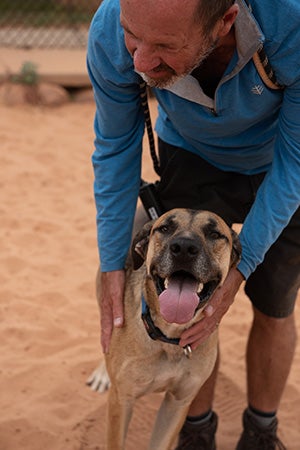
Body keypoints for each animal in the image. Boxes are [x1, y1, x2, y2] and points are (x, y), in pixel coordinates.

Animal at [90, 209, 240, 448]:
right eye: (165, 228)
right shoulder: (122, 399)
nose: (184, 248)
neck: (168, 337)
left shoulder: (178, 403)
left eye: (215, 234)